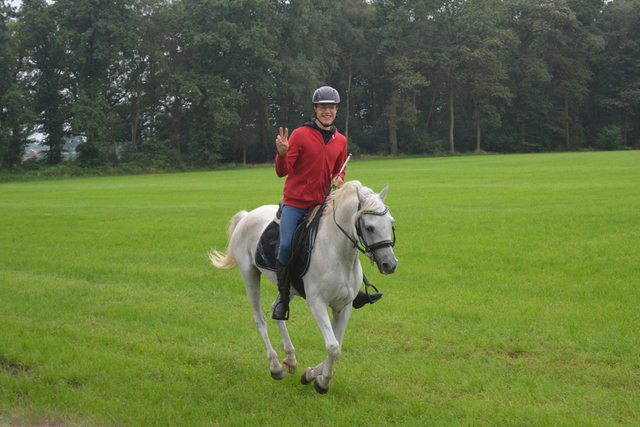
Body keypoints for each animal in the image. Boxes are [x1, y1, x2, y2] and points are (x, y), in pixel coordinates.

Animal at [210, 181, 398, 394]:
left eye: (391, 222)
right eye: (369, 227)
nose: (390, 264)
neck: (337, 251)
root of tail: (246, 215)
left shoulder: (343, 307)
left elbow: (337, 346)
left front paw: (311, 374)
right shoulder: (317, 304)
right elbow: (333, 346)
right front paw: (322, 381)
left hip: (287, 289)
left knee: (277, 311)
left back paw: (290, 359)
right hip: (249, 275)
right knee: (260, 320)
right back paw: (275, 365)